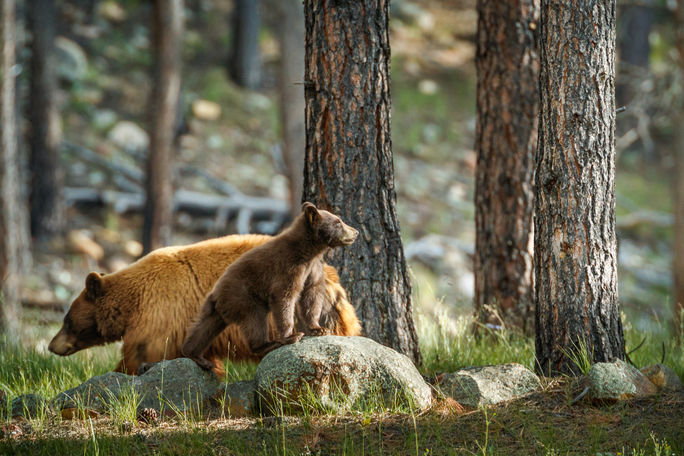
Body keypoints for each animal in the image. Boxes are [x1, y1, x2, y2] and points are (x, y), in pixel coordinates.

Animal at [48, 232, 361, 377]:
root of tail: (335, 284)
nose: (52, 345)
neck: (133, 301)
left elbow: (143, 354)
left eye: (66, 319)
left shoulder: (159, 316)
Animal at [182, 202, 358, 370]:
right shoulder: (288, 267)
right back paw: (268, 344)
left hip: (217, 311)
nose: (355, 232)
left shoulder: (312, 267)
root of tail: (216, 295)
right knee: (256, 320)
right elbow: (285, 297)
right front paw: (291, 336)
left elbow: (312, 294)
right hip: (244, 297)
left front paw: (318, 328)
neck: (308, 250)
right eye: (338, 222)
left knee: (204, 328)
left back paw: (196, 356)